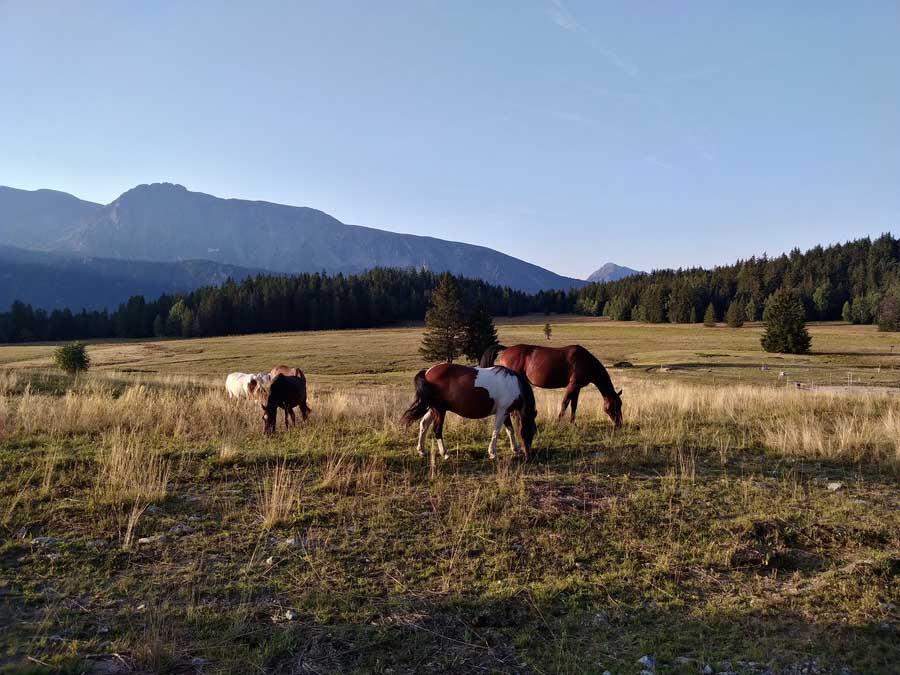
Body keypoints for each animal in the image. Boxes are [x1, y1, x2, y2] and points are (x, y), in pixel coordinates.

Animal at [400, 364, 536, 464]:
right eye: (530, 431)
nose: (528, 457)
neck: (514, 385)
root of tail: (427, 372)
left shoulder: (505, 412)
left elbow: (510, 430)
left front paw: (515, 449)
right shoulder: (502, 411)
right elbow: (496, 431)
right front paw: (492, 453)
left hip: (433, 409)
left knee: (424, 424)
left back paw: (421, 450)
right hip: (440, 410)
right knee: (437, 430)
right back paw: (445, 454)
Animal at [482, 344, 624, 428]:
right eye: (615, 405)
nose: (619, 424)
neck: (586, 361)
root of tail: (506, 349)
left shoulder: (577, 387)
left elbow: (574, 405)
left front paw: (573, 423)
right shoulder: (572, 385)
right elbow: (565, 403)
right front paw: (558, 422)